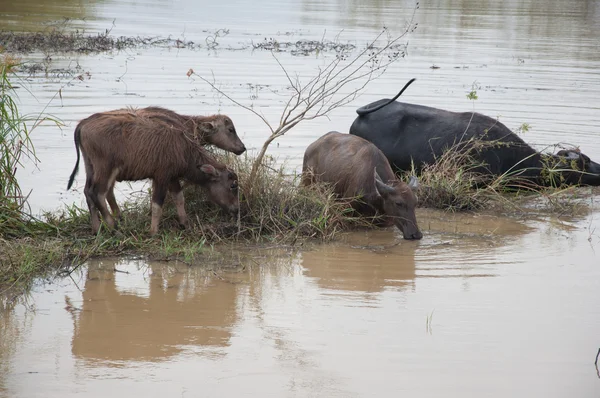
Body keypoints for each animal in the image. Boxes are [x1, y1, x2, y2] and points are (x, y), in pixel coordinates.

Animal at [67, 110, 239, 235]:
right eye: (232, 185)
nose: (236, 209)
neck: (183, 148)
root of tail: (83, 123)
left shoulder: (172, 177)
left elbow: (179, 198)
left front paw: (185, 223)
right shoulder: (161, 177)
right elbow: (157, 204)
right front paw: (154, 232)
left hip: (90, 167)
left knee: (88, 192)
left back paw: (96, 229)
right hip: (106, 169)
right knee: (98, 193)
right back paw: (114, 228)